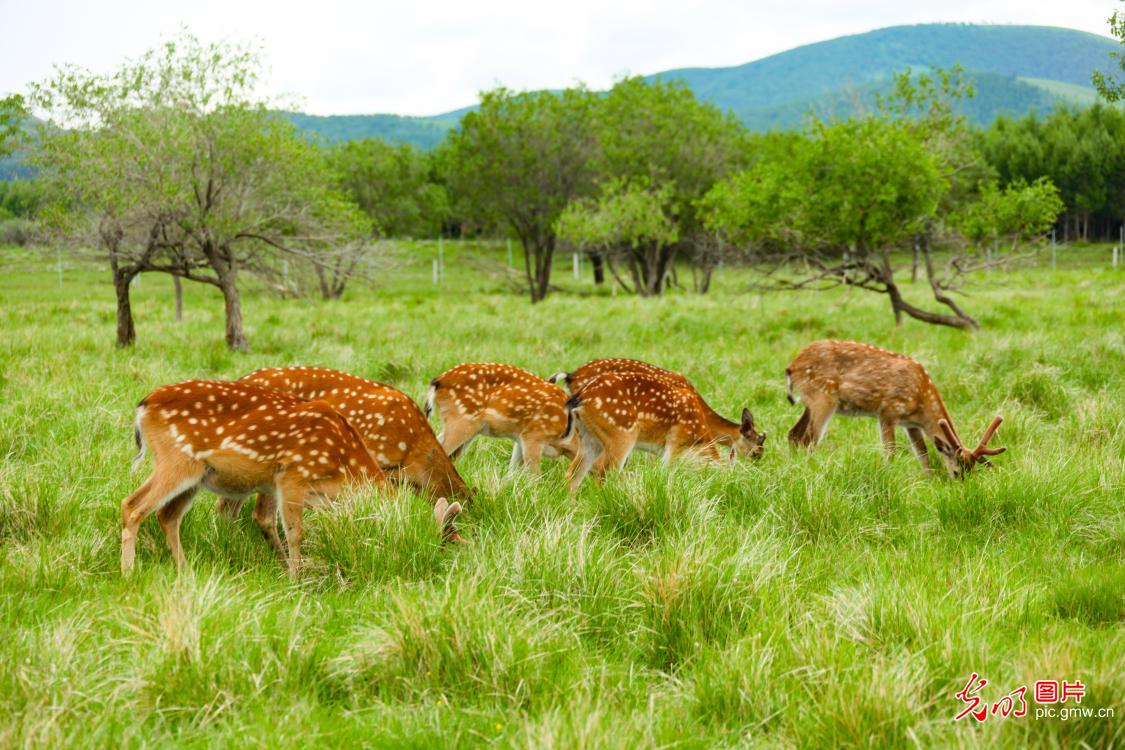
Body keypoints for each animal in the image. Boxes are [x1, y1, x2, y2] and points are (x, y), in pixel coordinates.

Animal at [121, 380, 392, 577]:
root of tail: (144, 404)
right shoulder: (293, 475)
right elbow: (295, 532)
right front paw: (295, 579)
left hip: (194, 475)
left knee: (166, 514)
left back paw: (186, 572)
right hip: (176, 460)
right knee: (132, 506)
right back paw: (129, 572)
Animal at [425, 363, 577, 474]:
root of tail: (439, 380)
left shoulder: (521, 438)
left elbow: (512, 472)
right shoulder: (533, 437)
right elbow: (534, 476)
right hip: (462, 419)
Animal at [562, 370, 765, 494]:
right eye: (756, 452)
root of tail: (579, 397)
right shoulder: (675, 443)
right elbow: (666, 473)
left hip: (589, 438)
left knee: (571, 476)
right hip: (620, 434)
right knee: (603, 478)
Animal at [785, 339, 1006, 476]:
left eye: (972, 471)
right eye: (957, 472)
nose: (962, 487)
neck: (921, 398)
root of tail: (792, 366)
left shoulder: (911, 424)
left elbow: (923, 454)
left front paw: (928, 480)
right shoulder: (887, 411)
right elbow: (890, 451)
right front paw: (888, 473)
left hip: (809, 401)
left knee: (793, 434)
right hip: (822, 397)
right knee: (809, 439)